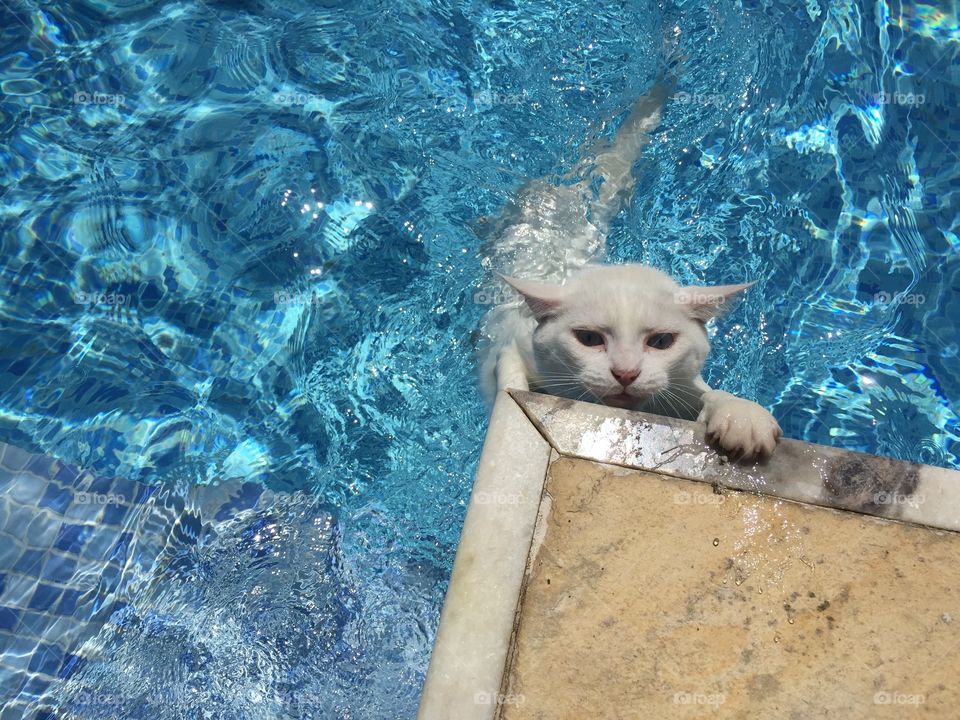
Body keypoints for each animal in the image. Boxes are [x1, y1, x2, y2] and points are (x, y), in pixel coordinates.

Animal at [480, 81, 780, 462]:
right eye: (588, 339)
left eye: (662, 342)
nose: (625, 373)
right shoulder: (512, 345)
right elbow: (509, 381)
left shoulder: (680, 389)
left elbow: (708, 393)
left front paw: (740, 414)